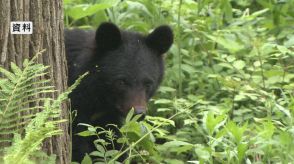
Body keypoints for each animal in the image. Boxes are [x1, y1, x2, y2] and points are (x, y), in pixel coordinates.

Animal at [65, 22, 173, 162]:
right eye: (121, 81)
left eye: (148, 83)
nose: (139, 112)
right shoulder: (76, 108)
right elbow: (79, 146)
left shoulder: (106, 116)